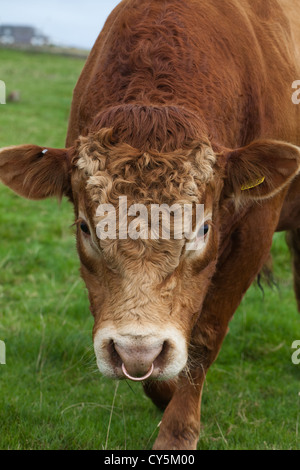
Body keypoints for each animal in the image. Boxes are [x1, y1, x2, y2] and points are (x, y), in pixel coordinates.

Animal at [0, 0, 300, 450]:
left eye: (204, 229)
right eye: (85, 228)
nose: (136, 350)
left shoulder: (254, 233)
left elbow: (203, 338)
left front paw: (178, 432)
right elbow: (157, 374)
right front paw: (165, 394)